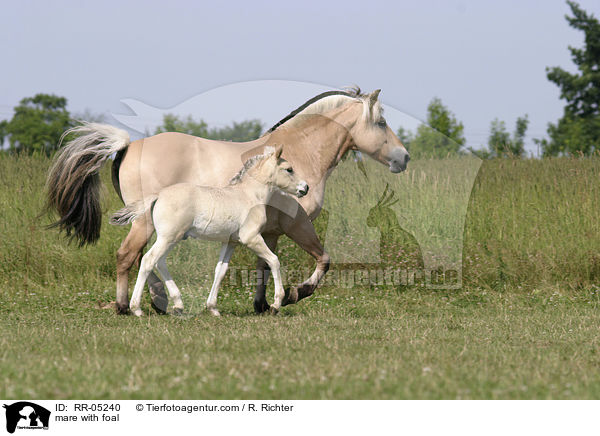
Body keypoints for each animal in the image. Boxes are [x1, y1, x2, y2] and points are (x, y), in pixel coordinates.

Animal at [110, 146, 310, 316]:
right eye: (289, 169)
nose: (305, 188)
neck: (250, 195)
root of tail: (159, 195)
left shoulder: (230, 242)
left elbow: (220, 270)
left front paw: (213, 308)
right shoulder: (251, 238)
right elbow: (274, 261)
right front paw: (276, 304)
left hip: (171, 238)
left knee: (160, 263)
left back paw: (178, 304)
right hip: (168, 238)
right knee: (148, 260)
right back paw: (136, 309)